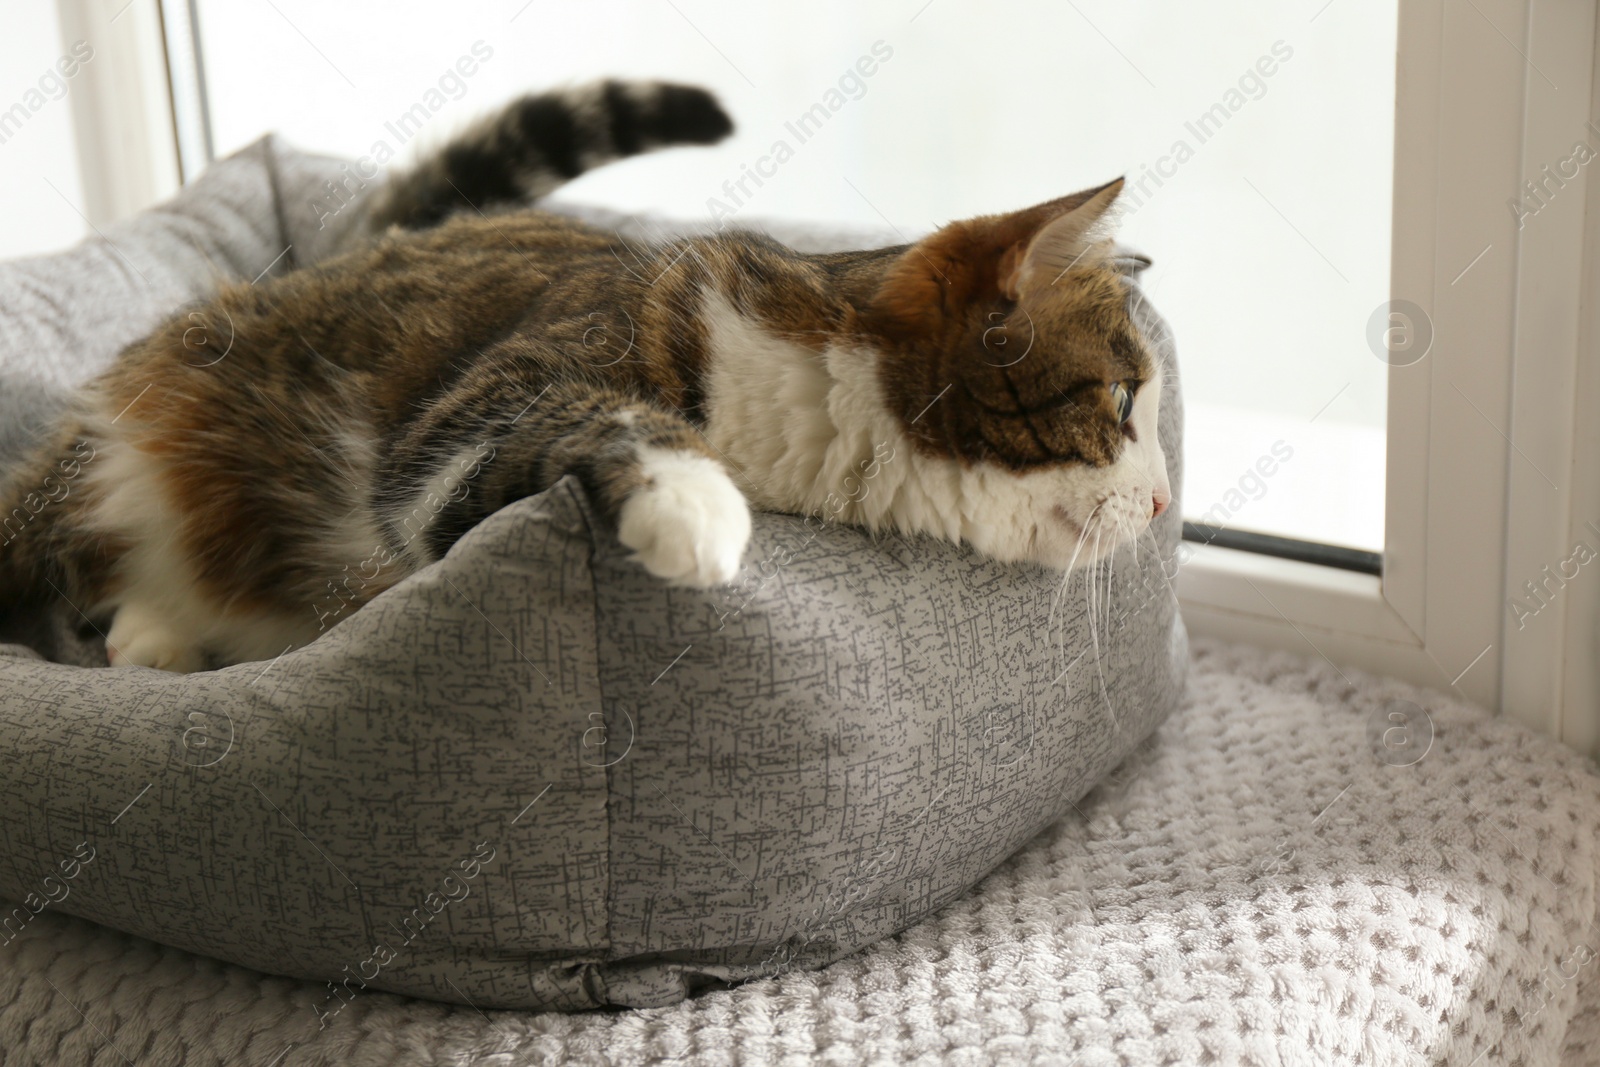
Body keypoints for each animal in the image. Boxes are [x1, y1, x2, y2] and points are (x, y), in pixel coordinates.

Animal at [0, 79, 1177, 671]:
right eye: (1122, 400)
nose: (1166, 499)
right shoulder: (469, 420)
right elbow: (603, 417)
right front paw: (695, 508)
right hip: (106, 458)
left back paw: (151, 638)